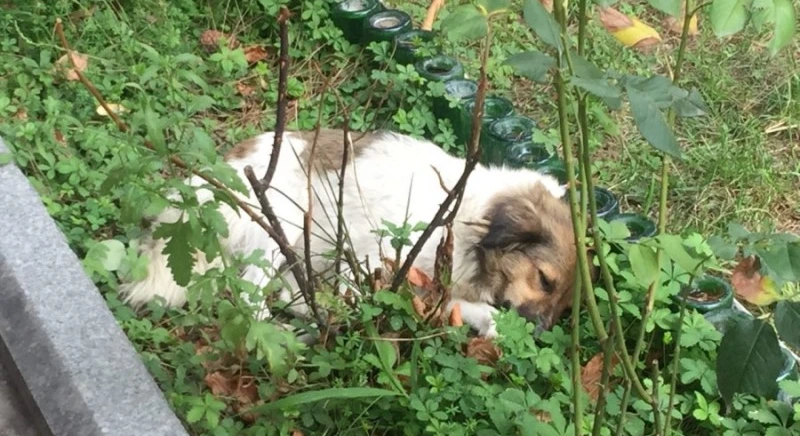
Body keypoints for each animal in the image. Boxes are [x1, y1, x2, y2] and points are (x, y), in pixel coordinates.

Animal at [118, 129, 578, 338]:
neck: (462, 214)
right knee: (253, 301)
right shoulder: (376, 258)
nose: (541, 334)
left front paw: (494, 327)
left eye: (564, 307)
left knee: (285, 290)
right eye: (544, 279)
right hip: (283, 218)